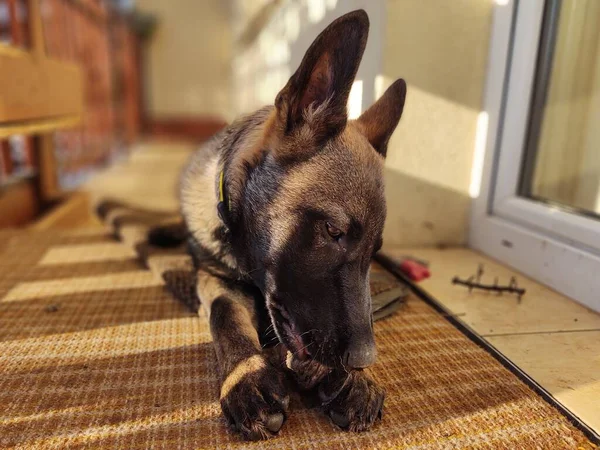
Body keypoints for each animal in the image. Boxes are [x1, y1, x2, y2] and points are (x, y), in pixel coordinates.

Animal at [152, 8, 406, 442]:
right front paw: (246, 376)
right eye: (333, 232)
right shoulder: (213, 278)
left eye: (376, 252)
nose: (362, 359)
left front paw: (350, 380)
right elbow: (226, 316)